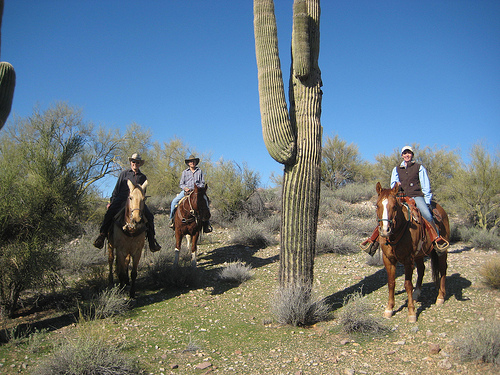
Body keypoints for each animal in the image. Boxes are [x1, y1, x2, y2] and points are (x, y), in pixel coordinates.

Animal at [376, 182, 450, 324]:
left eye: (394, 206)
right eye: (377, 205)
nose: (385, 230)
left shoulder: (408, 260)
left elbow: (407, 284)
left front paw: (411, 312)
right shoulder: (388, 259)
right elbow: (391, 283)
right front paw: (389, 309)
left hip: (441, 251)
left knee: (443, 269)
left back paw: (440, 297)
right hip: (419, 254)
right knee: (421, 269)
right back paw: (417, 293)